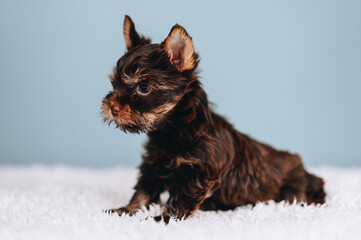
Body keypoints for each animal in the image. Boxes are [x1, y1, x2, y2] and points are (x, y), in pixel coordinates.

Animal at [100, 14, 324, 221]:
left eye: (144, 88)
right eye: (114, 84)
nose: (113, 106)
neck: (173, 128)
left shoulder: (196, 173)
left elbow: (178, 201)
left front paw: (160, 219)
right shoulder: (153, 166)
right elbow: (143, 192)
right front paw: (125, 210)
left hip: (293, 186)